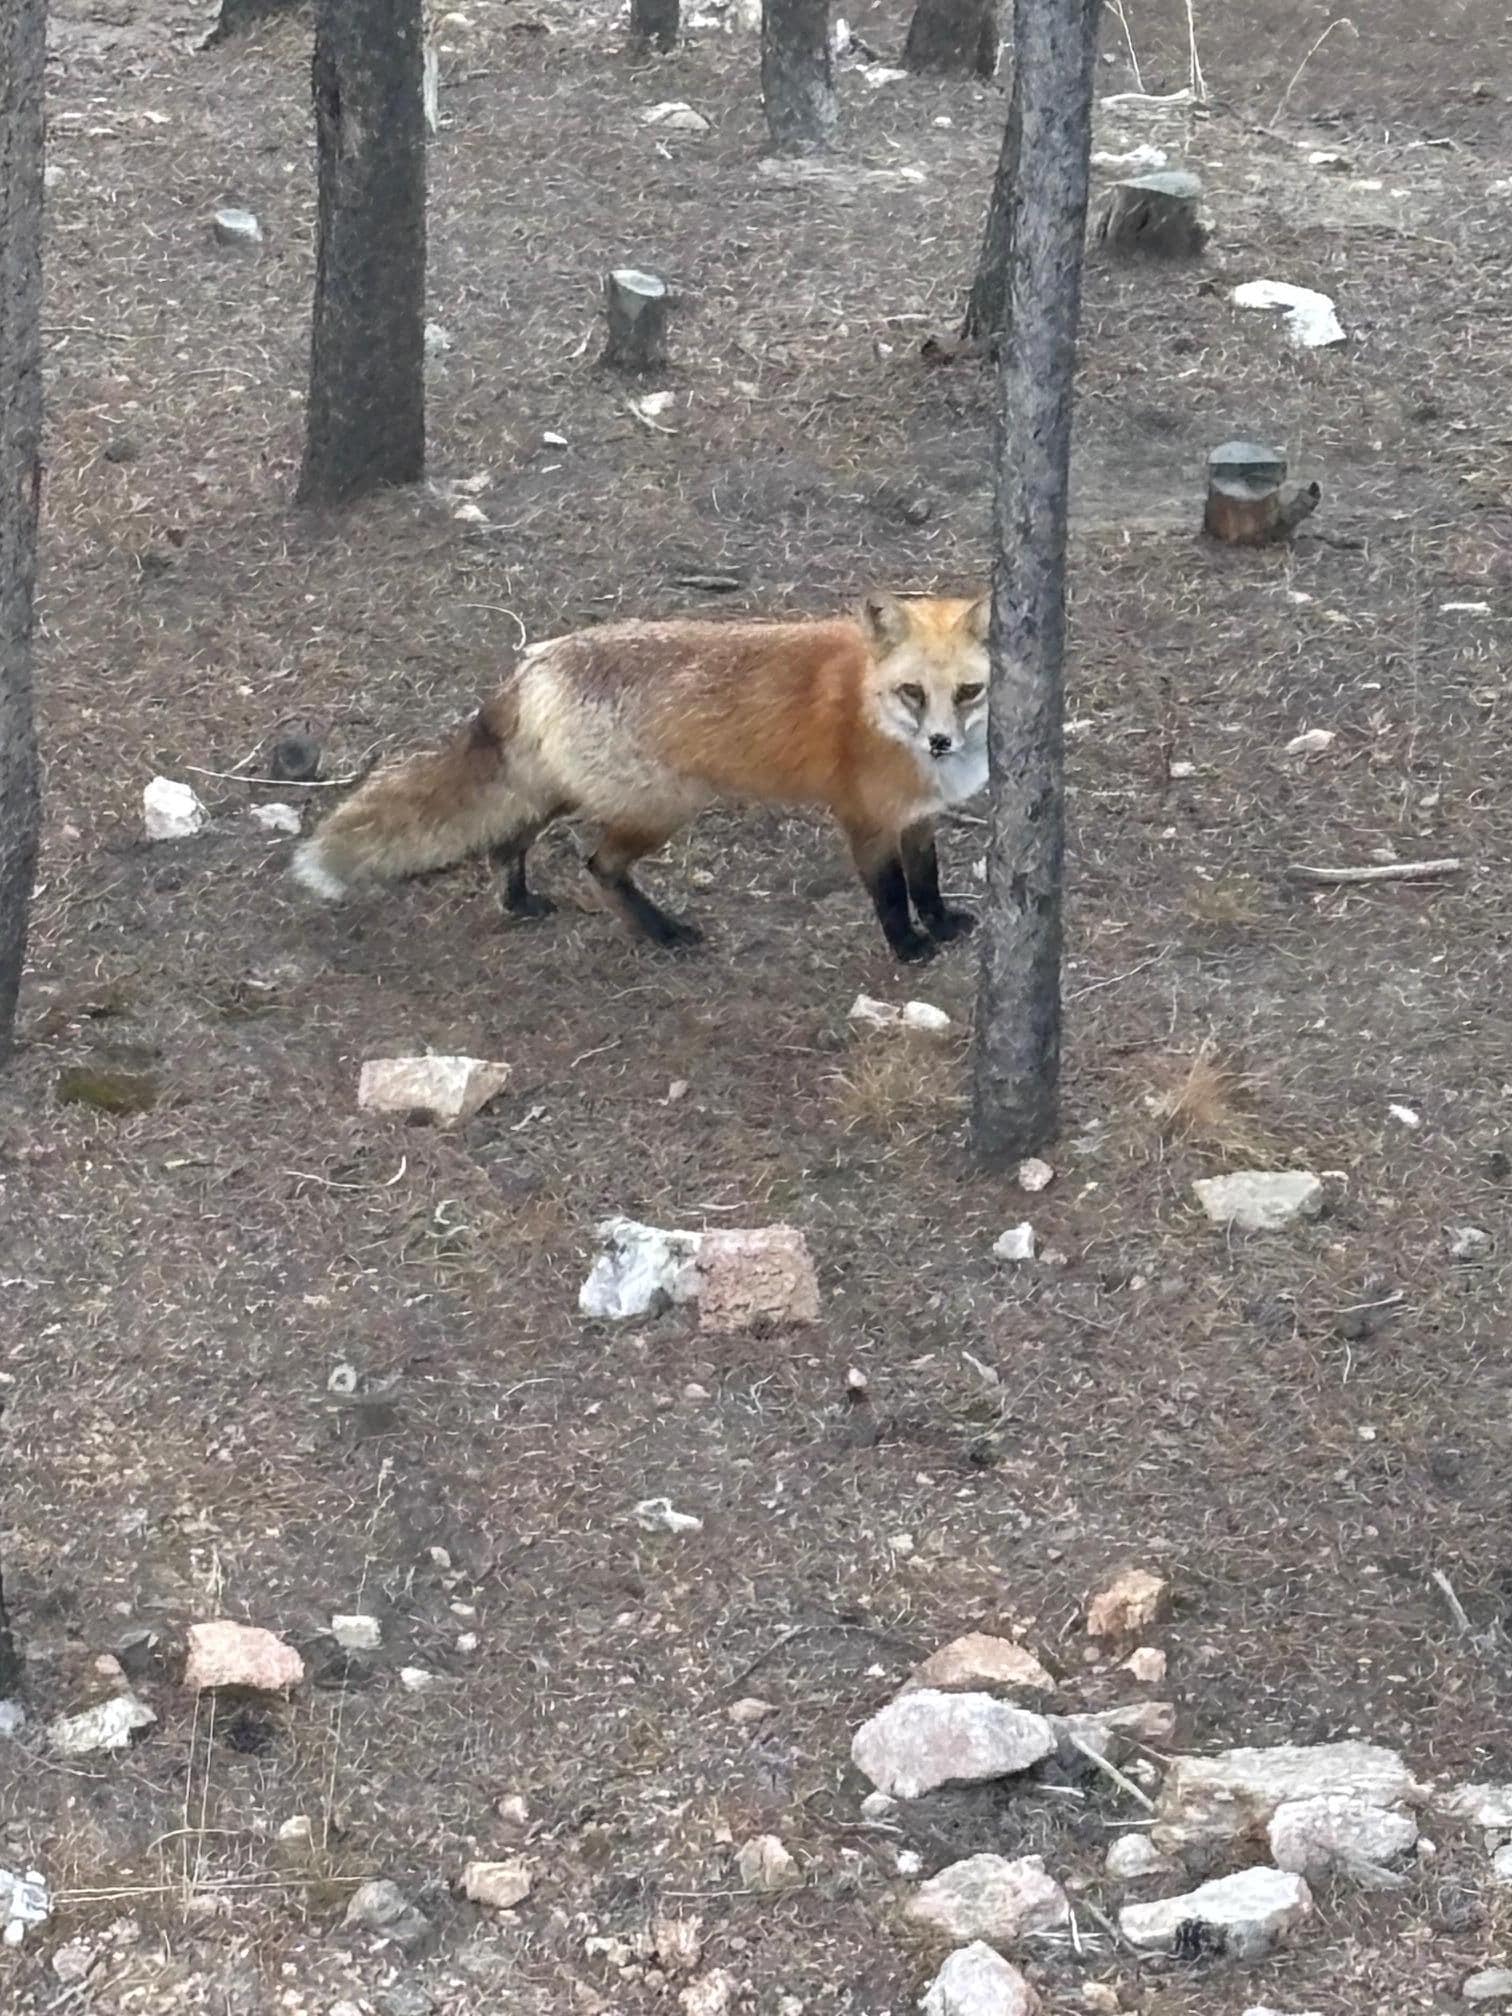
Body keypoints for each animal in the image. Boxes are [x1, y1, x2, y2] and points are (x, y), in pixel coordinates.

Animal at [292, 591, 991, 964]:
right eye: (911, 692)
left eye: (969, 691)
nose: (940, 742)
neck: (875, 711)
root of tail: (535, 662)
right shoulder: (866, 821)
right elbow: (891, 894)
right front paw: (909, 949)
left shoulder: (918, 820)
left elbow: (927, 881)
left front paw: (941, 925)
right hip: (665, 805)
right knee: (598, 864)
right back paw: (662, 931)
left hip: (566, 789)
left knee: (508, 838)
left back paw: (518, 900)